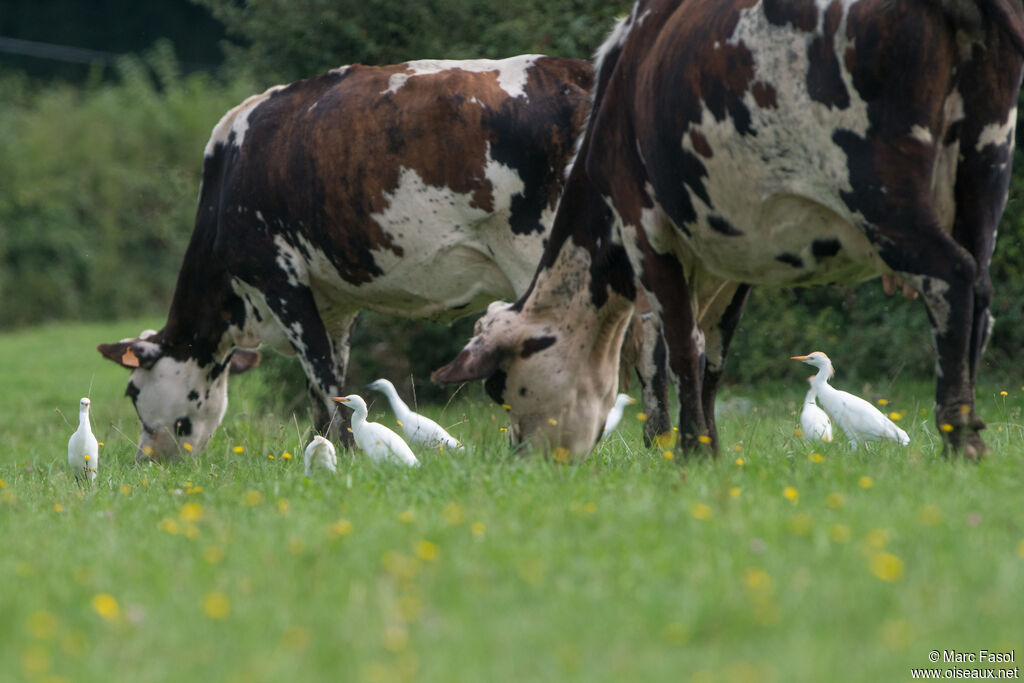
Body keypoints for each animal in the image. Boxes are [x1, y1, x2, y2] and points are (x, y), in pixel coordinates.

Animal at [96, 53, 598, 458]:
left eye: (132, 390)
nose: (147, 458)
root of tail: (573, 70)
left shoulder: (279, 279)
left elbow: (322, 376)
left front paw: (344, 449)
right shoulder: (334, 303)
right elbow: (328, 377)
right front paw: (324, 445)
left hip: (540, 253)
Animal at [434, 0, 1024, 462]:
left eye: (502, 387)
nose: (524, 461)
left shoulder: (648, 233)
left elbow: (680, 346)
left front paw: (691, 451)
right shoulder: (730, 266)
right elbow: (711, 356)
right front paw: (709, 447)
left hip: (880, 187)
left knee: (950, 278)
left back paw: (958, 443)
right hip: (983, 169)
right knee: (980, 293)